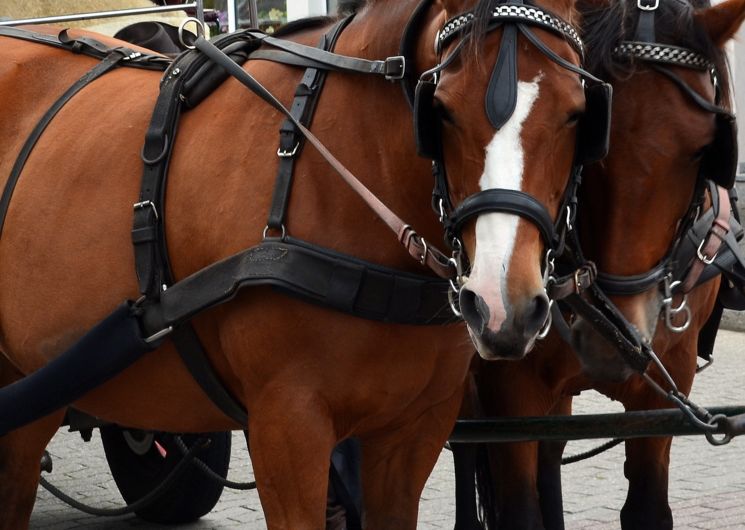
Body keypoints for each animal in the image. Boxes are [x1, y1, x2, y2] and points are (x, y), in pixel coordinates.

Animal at [454, 0, 744, 524]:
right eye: (595, 140)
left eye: (702, 150)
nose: (616, 344)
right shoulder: (508, 386)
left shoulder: (667, 383)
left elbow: (647, 507)